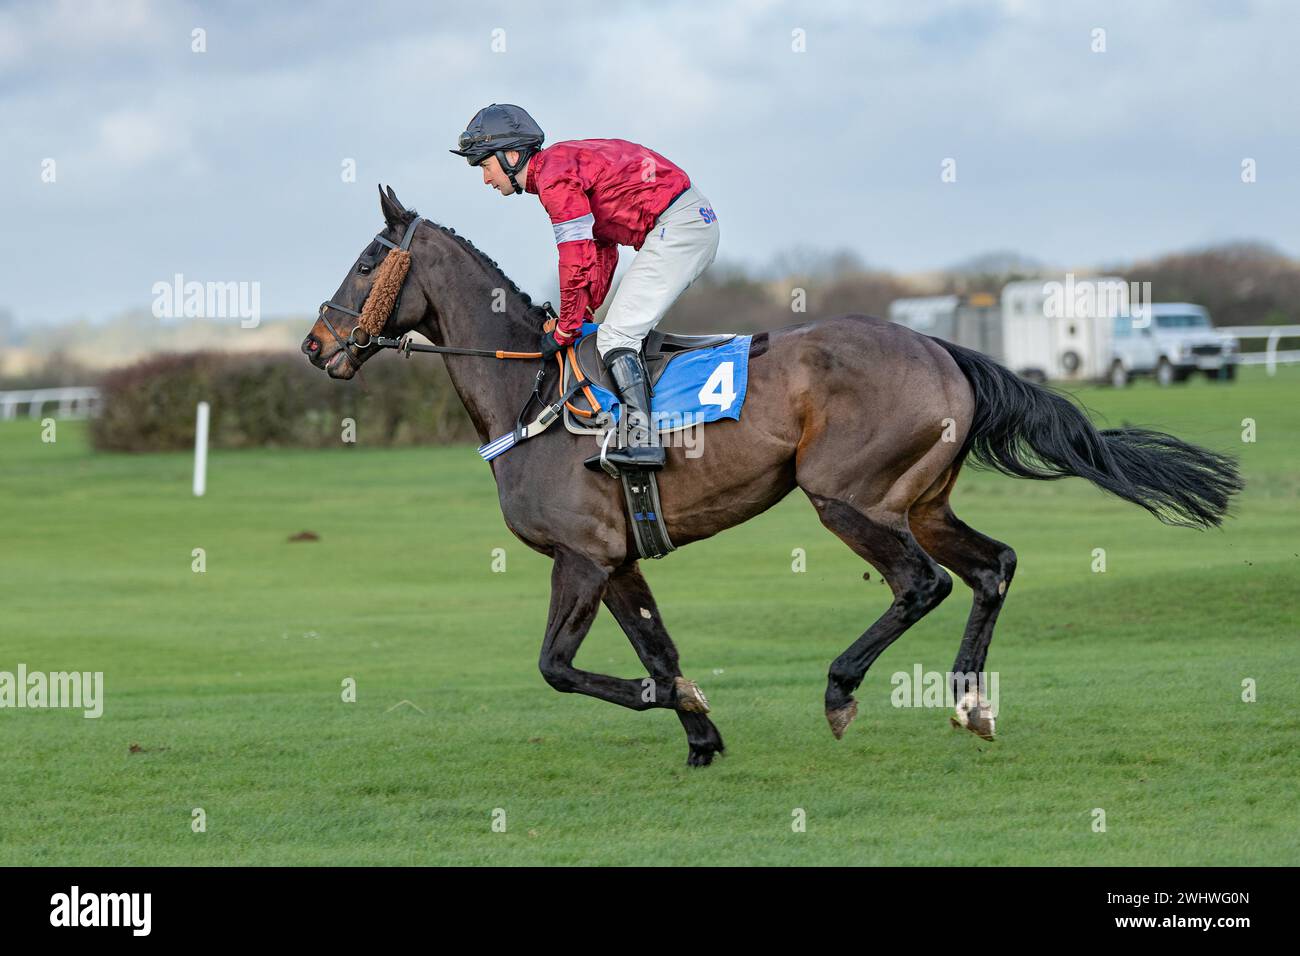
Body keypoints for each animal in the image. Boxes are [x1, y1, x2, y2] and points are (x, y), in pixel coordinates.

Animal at [299, 187, 1242, 770]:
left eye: (364, 262)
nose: (314, 346)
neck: (531, 390)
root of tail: (941, 346)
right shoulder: (618, 559)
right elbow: (657, 647)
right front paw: (700, 738)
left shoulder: (580, 557)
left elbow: (558, 668)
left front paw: (680, 704)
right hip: (920, 500)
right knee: (992, 566)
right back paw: (970, 701)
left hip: (848, 496)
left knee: (922, 583)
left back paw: (841, 689)